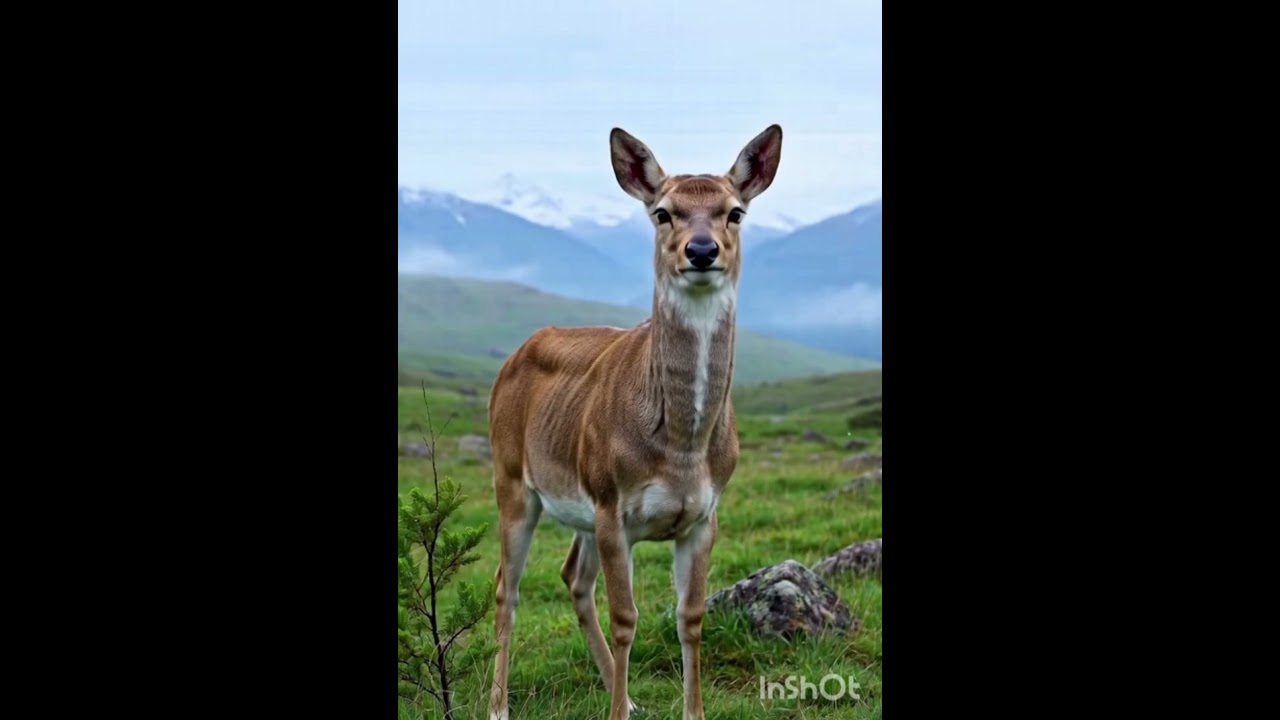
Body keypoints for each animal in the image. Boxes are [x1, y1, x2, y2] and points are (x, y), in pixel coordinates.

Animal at [486, 124, 783, 720]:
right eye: (663, 212)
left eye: (735, 212)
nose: (701, 249)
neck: (682, 450)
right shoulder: (611, 502)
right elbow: (627, 619)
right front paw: (617, 709)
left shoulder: (704, 515)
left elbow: (691, 618)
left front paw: (687, 710)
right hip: (512, 478)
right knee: (508, 586)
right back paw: (500, 705)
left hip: (577, 508)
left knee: (573, 578)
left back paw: (623, 694)